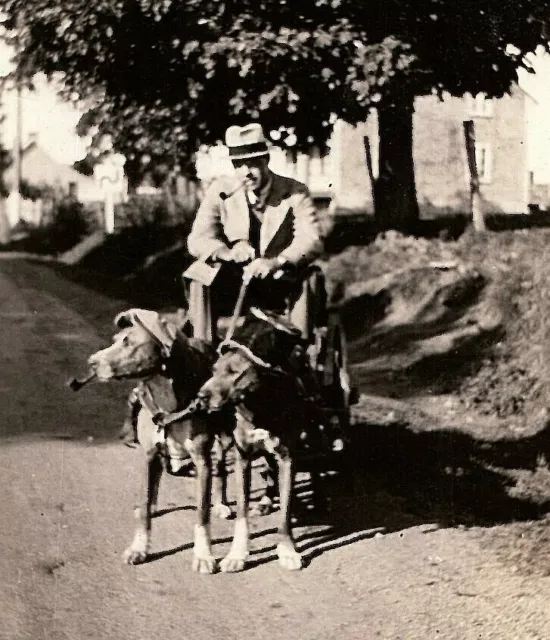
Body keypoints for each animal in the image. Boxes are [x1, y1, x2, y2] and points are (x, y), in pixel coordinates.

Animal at [86, 308, 233, 572]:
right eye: (115, 340)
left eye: (129, 342)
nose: (91, 362)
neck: (165, 394)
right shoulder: (149, 454)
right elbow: (146, 500)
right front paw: (139, 548)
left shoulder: (202, 459)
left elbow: (202, 511)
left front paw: (203, 554)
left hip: (224, 437)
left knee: (222, 470)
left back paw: (221, 502)